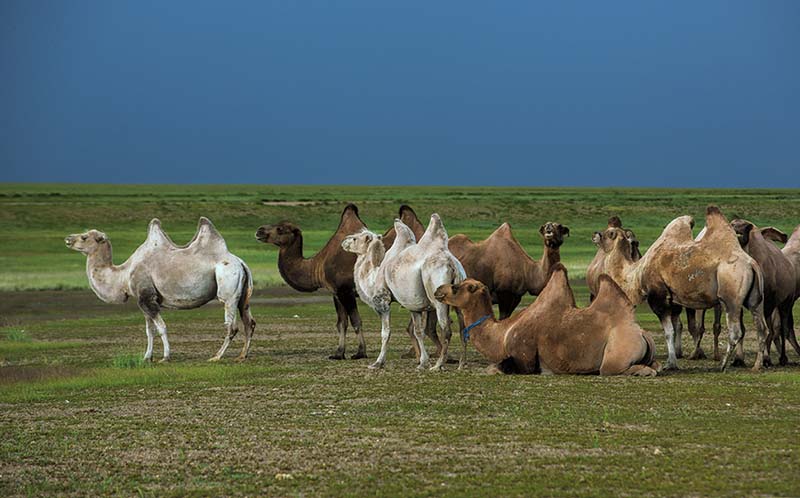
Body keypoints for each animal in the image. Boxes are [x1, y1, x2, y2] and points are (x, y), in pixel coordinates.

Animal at [65, 218, 255, 362]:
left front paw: (165, 357)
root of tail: (240, 262)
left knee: (232, 326)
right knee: (249, 322)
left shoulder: (147, 298)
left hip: (227, 286)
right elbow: (150, 331)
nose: (68, 239)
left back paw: (216, 356)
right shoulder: (143, 301)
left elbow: (162, 328)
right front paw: (146, 357)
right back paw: (242, 356)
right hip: (242, 295)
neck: (124, 275)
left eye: (84, 237)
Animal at [255, 204, 368, 360]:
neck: (318, 264)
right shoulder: (337, 292)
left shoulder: (346, 291)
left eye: (280, 229)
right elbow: (342, 323)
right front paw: (338, 353)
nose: (259, 230)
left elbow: (356, 321)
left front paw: (361, 353)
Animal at [434, 266, 660, 376]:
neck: (503, 334)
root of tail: (642, 333)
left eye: (456, 287)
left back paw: (644, 372)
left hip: (616, 354)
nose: (438, 290)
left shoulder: (523, 356)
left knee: (611, 369)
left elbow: (494, 368)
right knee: (656, 364)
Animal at [592, 204, 768, 372]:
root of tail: (751, 264)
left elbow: (668, 332)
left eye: (610, 233)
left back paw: (723, 365)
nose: (595, 234)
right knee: (762, 328)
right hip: (755, 299)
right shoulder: (674, 301)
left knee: (736, 331)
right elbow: (676, 328)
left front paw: (670, 364)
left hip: (731, 294)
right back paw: (757, 365)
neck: (636, 272)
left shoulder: (658, 298)